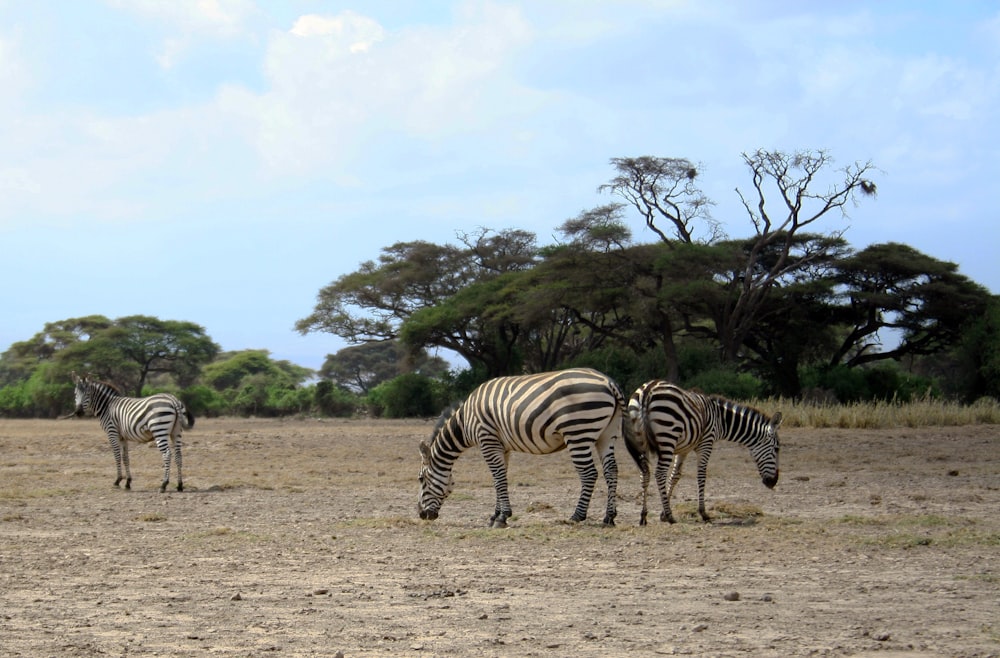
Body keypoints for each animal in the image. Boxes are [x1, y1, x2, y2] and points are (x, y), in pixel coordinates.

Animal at [418, 366, 628, 524]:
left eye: (421, 479)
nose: (421, 515)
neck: (464, 421)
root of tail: (607, 381)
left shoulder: (487, 440)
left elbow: (498, 477)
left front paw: (503, 517)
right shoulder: (502, 446)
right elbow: (499, 477)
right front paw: (496, 515)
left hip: (578, 432)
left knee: (589, 473)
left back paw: (577, 516)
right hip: (607, 434)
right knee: (611, 470)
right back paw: (609, 517)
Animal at [624, 380, 780, 524]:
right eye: (776, 449)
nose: (773, 483)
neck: (721, 420)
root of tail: (647, 391)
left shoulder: (683, 449)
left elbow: (675, 476)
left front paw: (662, 513)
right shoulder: (706, 443)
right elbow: (701, 475)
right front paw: (703, 513)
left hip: (641, 439)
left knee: (644, 474)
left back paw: (643, 516)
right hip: (667, 437)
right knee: (660, 473)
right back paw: (670, 516)